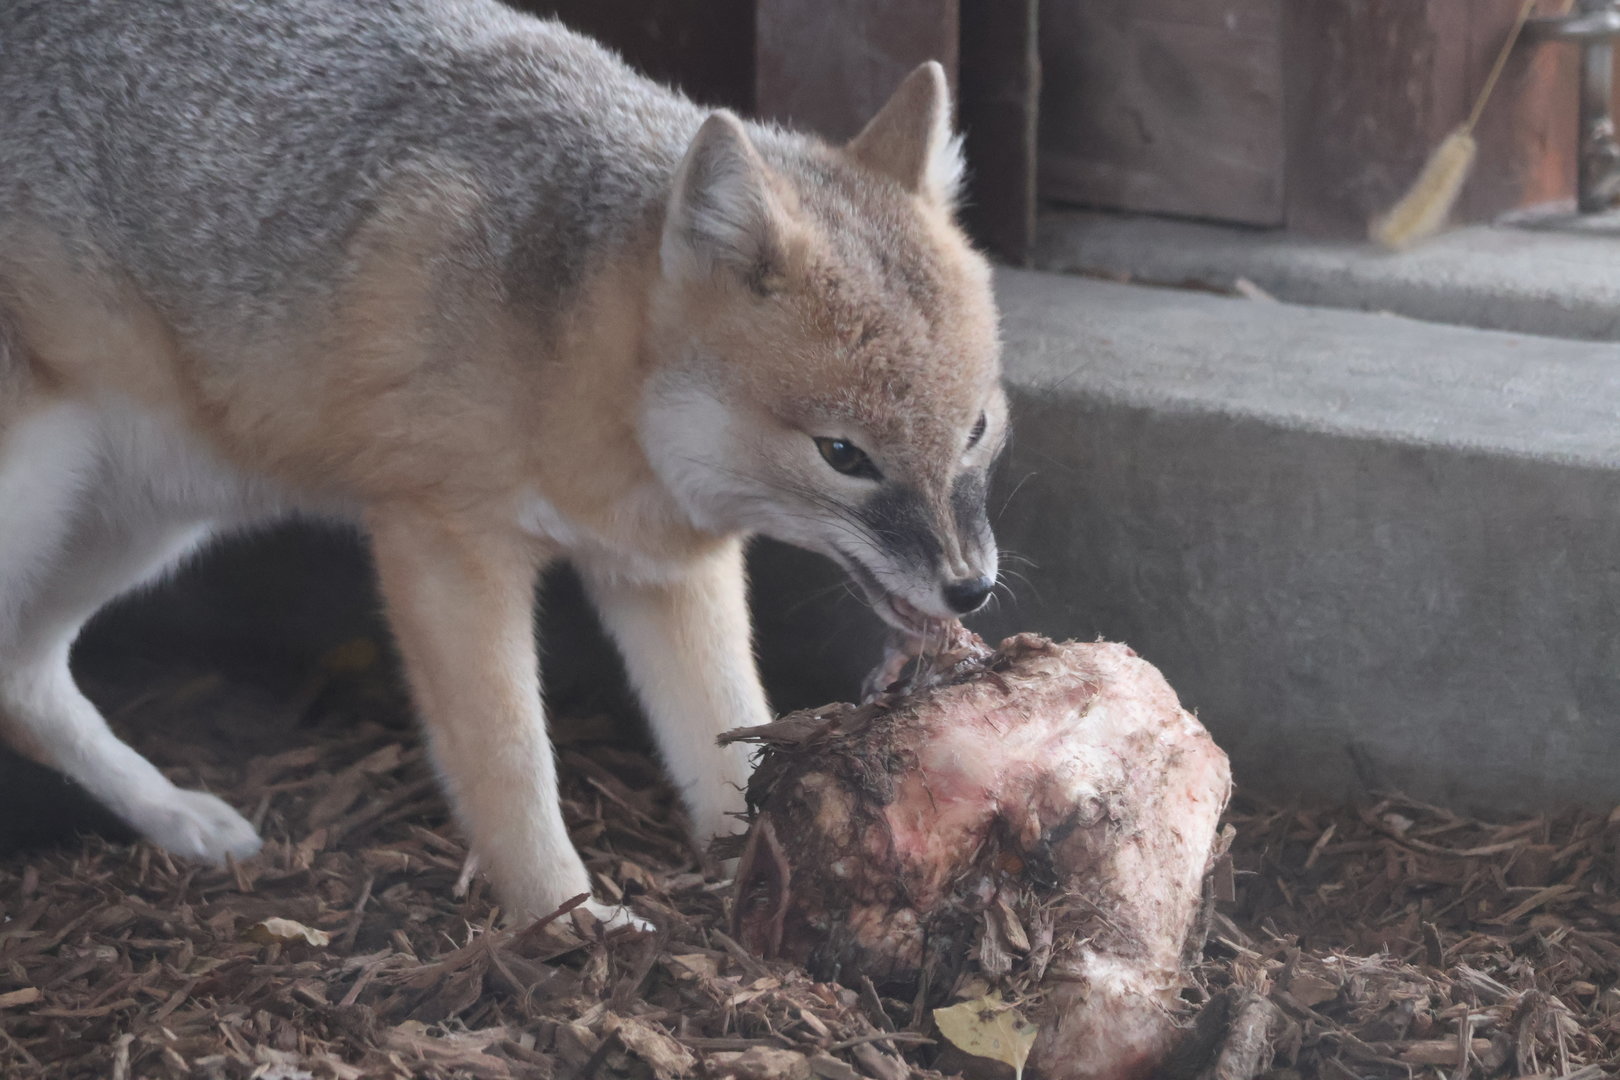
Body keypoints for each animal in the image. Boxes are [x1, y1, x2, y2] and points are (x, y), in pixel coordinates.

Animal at [0, 0, 1005, 926]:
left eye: (979, 428)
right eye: (843, 455)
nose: (972, 588)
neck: (566, 357)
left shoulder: (666, 569)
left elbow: (729, 724)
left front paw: (757, 872)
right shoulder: (443, 542)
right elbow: (510, 761)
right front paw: (566, 921)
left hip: (148, 517)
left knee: (22, 678)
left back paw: (175, 815)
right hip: (46, 497)